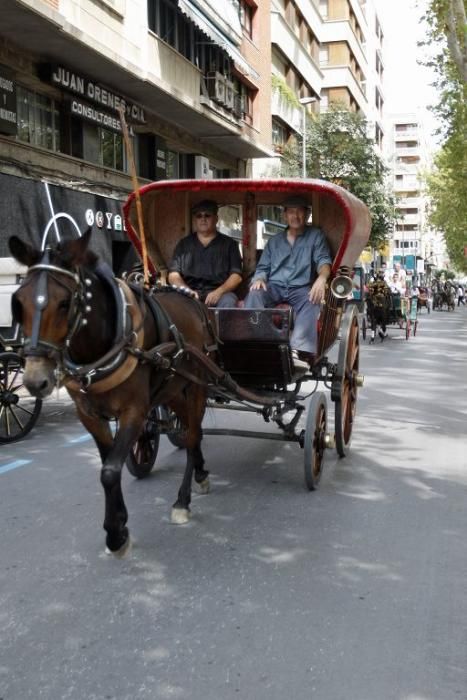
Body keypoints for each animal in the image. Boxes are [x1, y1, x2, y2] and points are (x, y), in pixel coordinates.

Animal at [8, 232, 214, 556]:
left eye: (65, 303)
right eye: (18, 301)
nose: (34, 379)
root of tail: (195, 302)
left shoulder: (135, 411)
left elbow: (109, 470)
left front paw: (116, 535)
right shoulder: (89, 415)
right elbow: (108, 464)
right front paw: (119, 523)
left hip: (197, 385)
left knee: (193, 434)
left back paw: (183, 500)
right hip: (171, 390)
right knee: (193, 431)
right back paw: (201, 473)